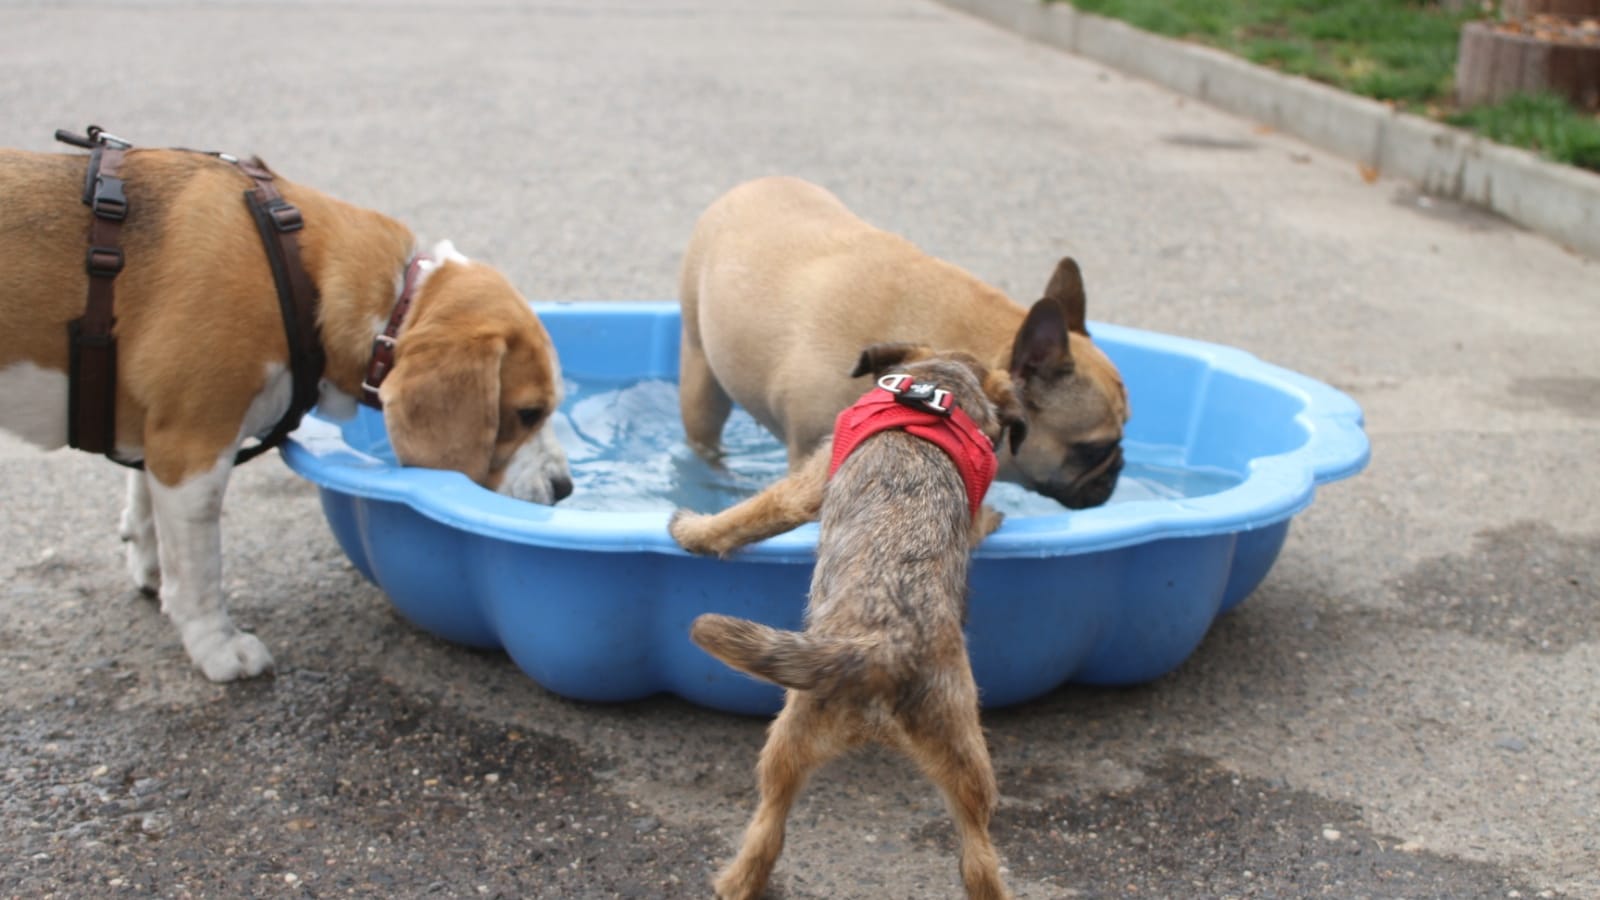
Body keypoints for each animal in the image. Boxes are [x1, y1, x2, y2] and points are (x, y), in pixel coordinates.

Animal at [0, 145, 572, 679]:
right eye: (528, 413)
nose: (565, 488)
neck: (297, 268)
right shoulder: (192, 451)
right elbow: (200, 573)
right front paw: (217, 648)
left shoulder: (155, 431)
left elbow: (142, 497)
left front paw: (148, 558)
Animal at [684, 341, 1024, 896]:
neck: (938, 389)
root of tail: (885, 648)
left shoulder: (806, 484)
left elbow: (748, 515)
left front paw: (693, 531)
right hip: (953, 756)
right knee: (977, 862)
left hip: (796, 733)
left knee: (769, 824)